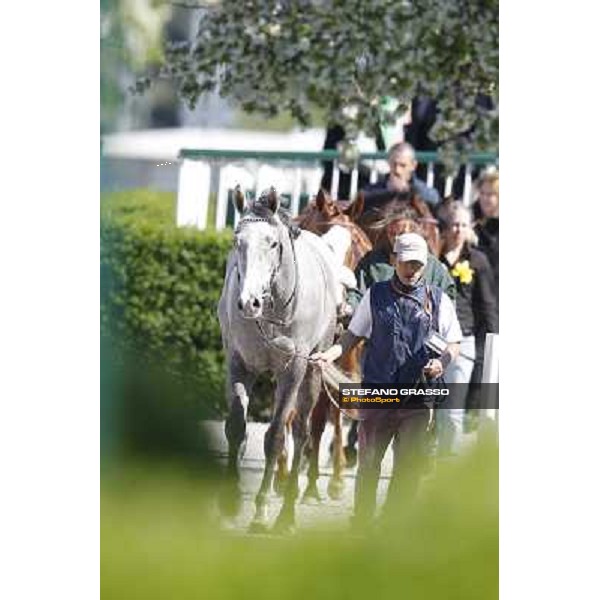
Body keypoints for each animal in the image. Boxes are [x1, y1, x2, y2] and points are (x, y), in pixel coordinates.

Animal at [216, 189, 340, 536]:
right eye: (237, 241)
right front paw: (229, 501)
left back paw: (288, 509)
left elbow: (274, 438)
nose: (249, 303)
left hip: (312, 369)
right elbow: (236, 427)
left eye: (272, 243)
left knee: (301, 430)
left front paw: (262, 512)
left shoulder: (292, 371)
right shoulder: (239, 363)